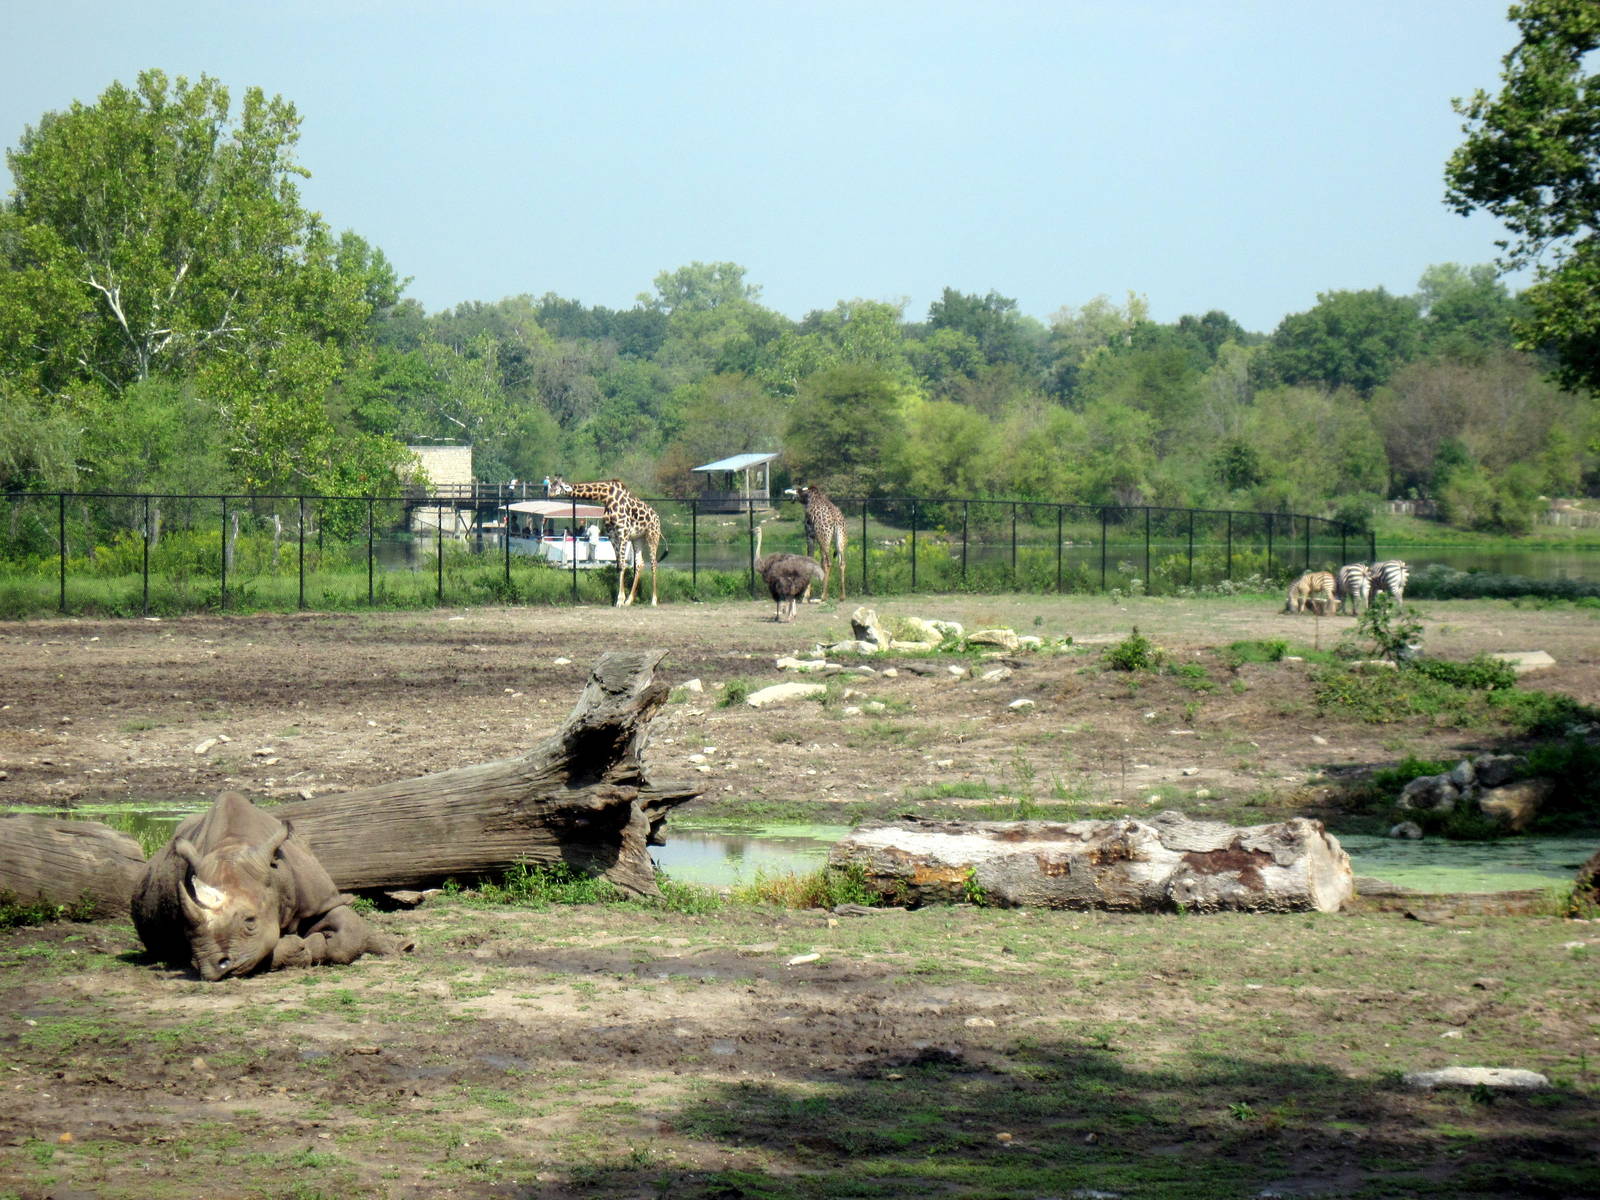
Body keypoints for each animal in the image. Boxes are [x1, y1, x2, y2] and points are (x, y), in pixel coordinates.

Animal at [132, 791, 411, 980]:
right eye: (186, 928)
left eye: (250, 922)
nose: (214, 967)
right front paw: (302, 949)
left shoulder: (322, 900)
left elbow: (349, 933)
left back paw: (400, 948)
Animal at [549, 478, 665, 606]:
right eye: (551, 485)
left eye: (559, 486)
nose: (550, 494)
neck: (607, 497)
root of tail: (657, 517)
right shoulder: (612, 536)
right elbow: (618, 565)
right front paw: (620, 599)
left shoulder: (623, 533)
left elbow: (623, 564)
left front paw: (619, 600)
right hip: (638, 538)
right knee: (640, 563)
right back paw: (629, 600)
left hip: (652, 535)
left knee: (653, 563)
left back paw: (653, 600)